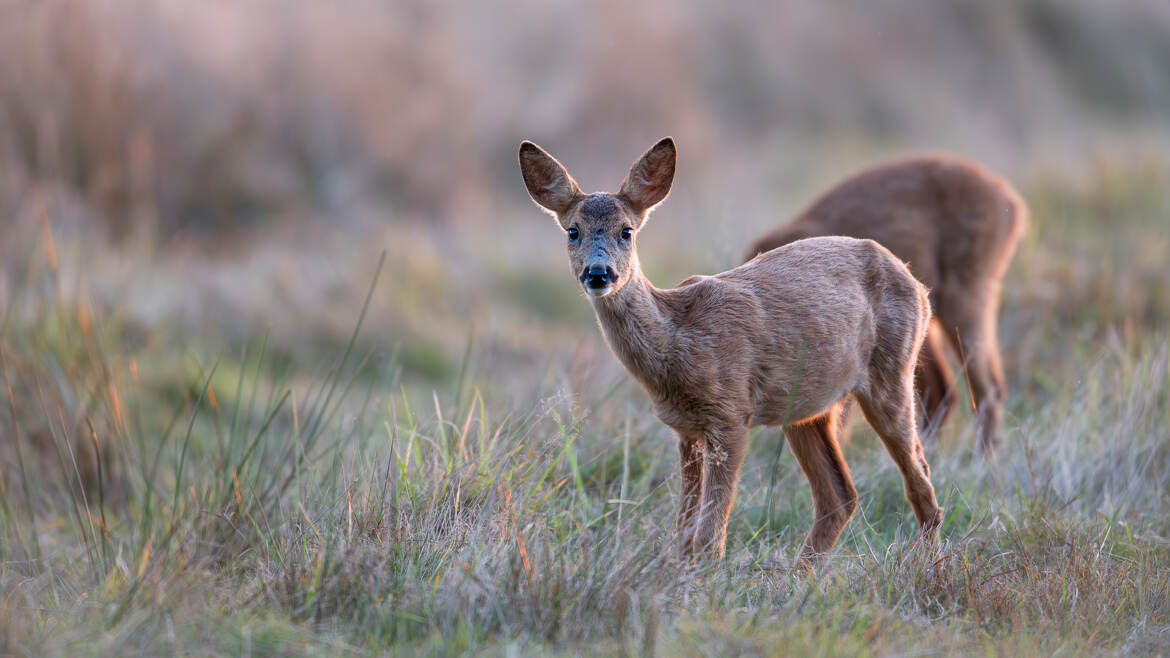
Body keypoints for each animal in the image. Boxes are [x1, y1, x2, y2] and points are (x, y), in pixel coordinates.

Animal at [519, 135, 940, 561]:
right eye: (573, 231)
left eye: (626, 230)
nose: (599, 273)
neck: (676, 341)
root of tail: (917, 285)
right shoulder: (685, 428)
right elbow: (685, 529)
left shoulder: (732, 414)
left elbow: (710, 534)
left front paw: (705, 574)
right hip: (806, 408)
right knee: (839, 495)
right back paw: (802, 570)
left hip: (892, 372)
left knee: (920, 480)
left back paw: (925, 562)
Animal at [744, 155, 1029, 454]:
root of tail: (1008, 197)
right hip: (926, 326)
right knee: (943, 392)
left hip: (962, 303)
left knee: (987, 389)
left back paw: (982, 457)